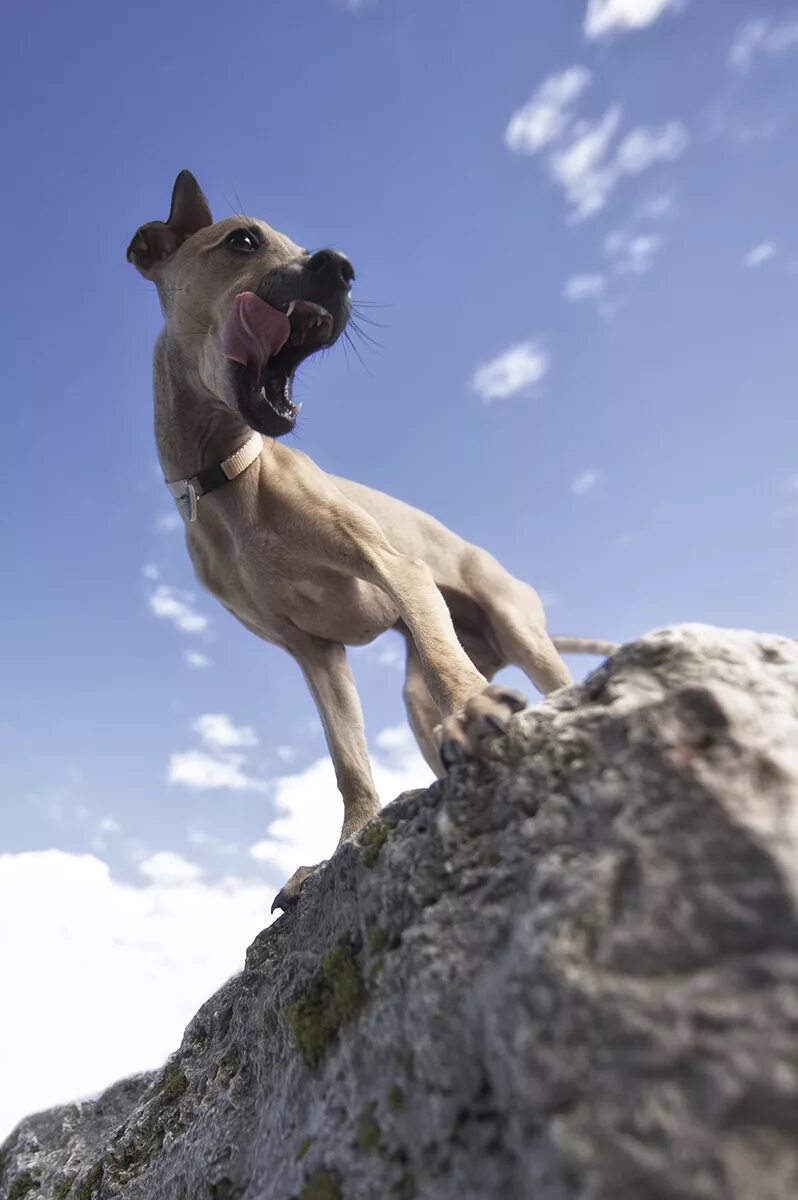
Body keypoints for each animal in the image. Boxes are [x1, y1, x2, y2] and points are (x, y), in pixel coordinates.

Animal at [129, 171, 614, 907]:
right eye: (243, 240)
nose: (340, 268)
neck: (232, 481)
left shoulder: (393, 568)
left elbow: (446, 667)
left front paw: (473, 706)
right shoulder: (314, 654)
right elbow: (348, 760)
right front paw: (348, 843)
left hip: (516, 626)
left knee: (534, 679)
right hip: (417, 694)